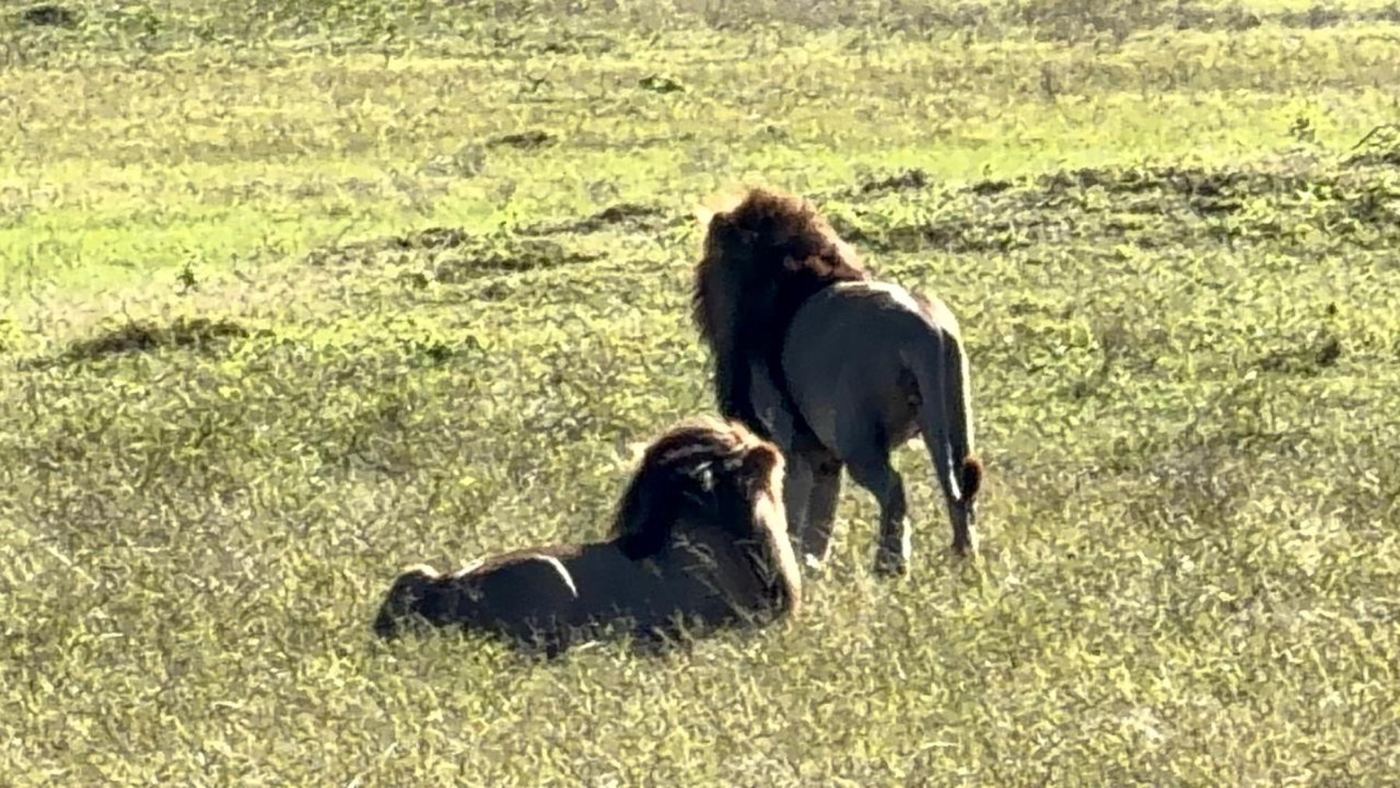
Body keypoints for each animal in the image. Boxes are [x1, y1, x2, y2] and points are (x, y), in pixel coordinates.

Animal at [692, 186, 983, 576]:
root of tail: (925, 330)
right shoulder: (823, 456)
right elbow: (821, 516)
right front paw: (812, 565)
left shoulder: (793, 445)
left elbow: (793, 507)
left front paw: (794, 561)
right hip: (953, 420)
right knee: (960, 489)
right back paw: (966, 560)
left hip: (857, 438)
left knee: (895, 489)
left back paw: (890, 566)